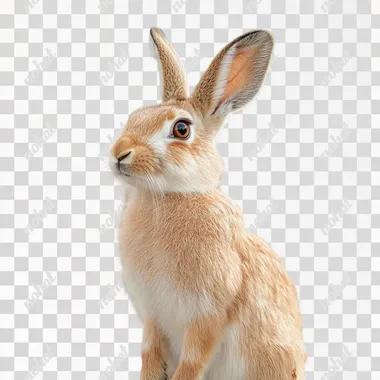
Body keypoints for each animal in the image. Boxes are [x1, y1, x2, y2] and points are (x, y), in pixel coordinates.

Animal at [108, 27, 308, 380]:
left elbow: (192, 359)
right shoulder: (153, 316)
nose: (119, 153)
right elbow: (149, 352)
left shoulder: (208, 312)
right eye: (134, 117)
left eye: (181, 129)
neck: (169, 195)